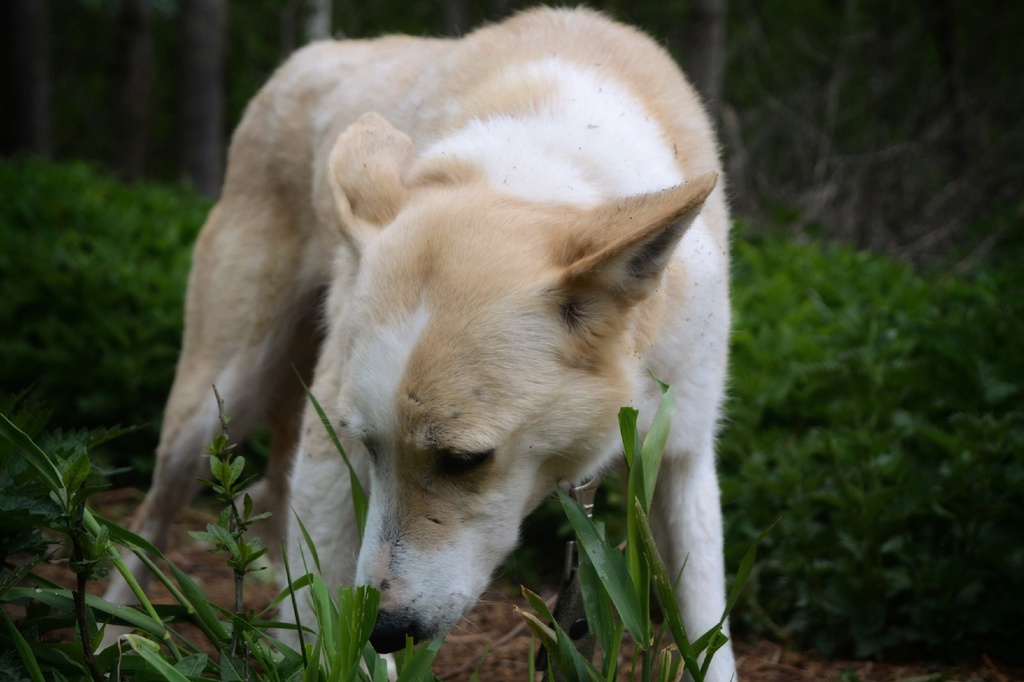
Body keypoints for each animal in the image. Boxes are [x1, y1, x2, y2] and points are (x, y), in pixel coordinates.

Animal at [105, 6, 737, 679]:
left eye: (465, 460)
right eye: (369, 445)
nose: (386, 632)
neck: (535, 165)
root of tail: (310, 56)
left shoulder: (682, 457)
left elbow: (707, 634)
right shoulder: (330, 448)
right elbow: (330, 622)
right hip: (217, 404)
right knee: (150, 520)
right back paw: (115, 639)